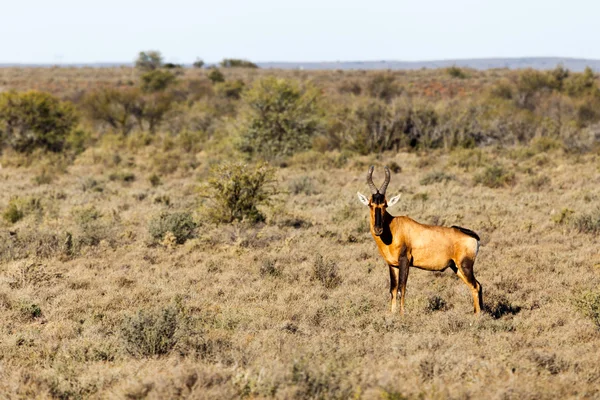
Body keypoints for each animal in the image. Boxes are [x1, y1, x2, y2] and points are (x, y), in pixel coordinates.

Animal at [356, 166, 482, 316]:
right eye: (371, 204)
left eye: (385, 205)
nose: (378, 229)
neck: (394, 227)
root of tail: (473, 236)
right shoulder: (392, 265)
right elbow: (393, 290)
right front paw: (392, 314)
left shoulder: (404, 261)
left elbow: (402, 288)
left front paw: (402, 315)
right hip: (456, 267)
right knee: (477, 285)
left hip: (465, 265)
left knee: (475, 286)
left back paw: (478, 317)